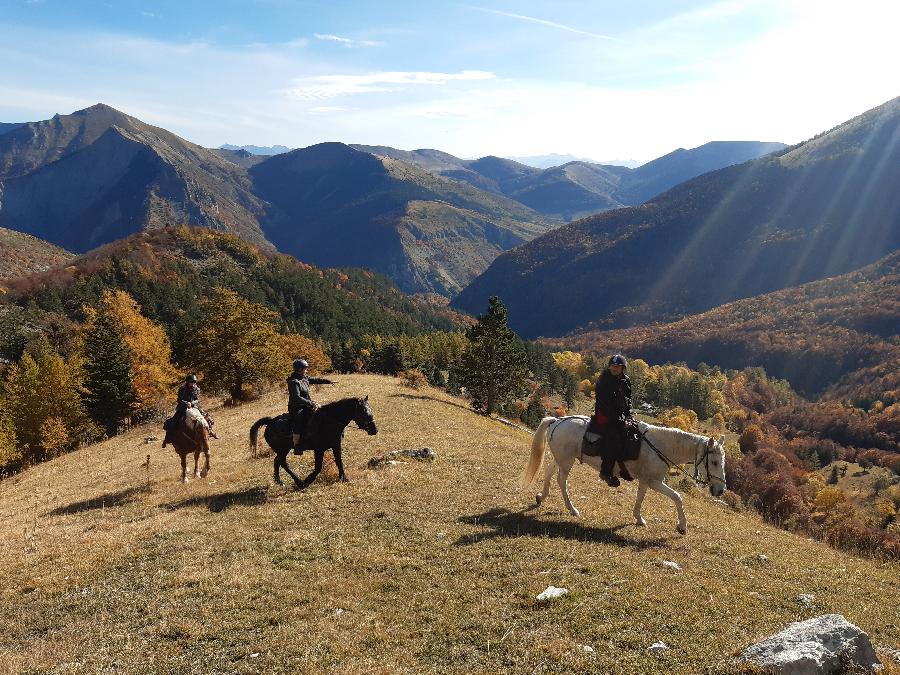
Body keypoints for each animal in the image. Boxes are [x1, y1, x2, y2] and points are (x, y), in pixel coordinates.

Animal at [248, 398, 378, 488]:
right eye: (363, 412)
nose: (374, 430)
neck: (329, 421)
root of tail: (270, 422)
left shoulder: (336, 446)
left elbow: (339, 462)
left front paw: (344, 478)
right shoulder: (319, 449)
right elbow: (318, 467)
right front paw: (308, 480)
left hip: (283, 450)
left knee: (277, 462)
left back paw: (279, 481)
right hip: (283, 450)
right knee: (283, 463)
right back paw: (299, 482)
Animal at [524, 414, 728, 536]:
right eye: (714, 462)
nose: (720, 490)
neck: (660, 446)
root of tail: (557, 421)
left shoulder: (646, 481)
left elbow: (640, 498)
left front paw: (638, 518)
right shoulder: (653, 481)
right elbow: (677, 497)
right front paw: (682, 526)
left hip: (562, 458)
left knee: (550, 471)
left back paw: (541, 496)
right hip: (566, 461)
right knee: (561, 480)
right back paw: (572, 509)